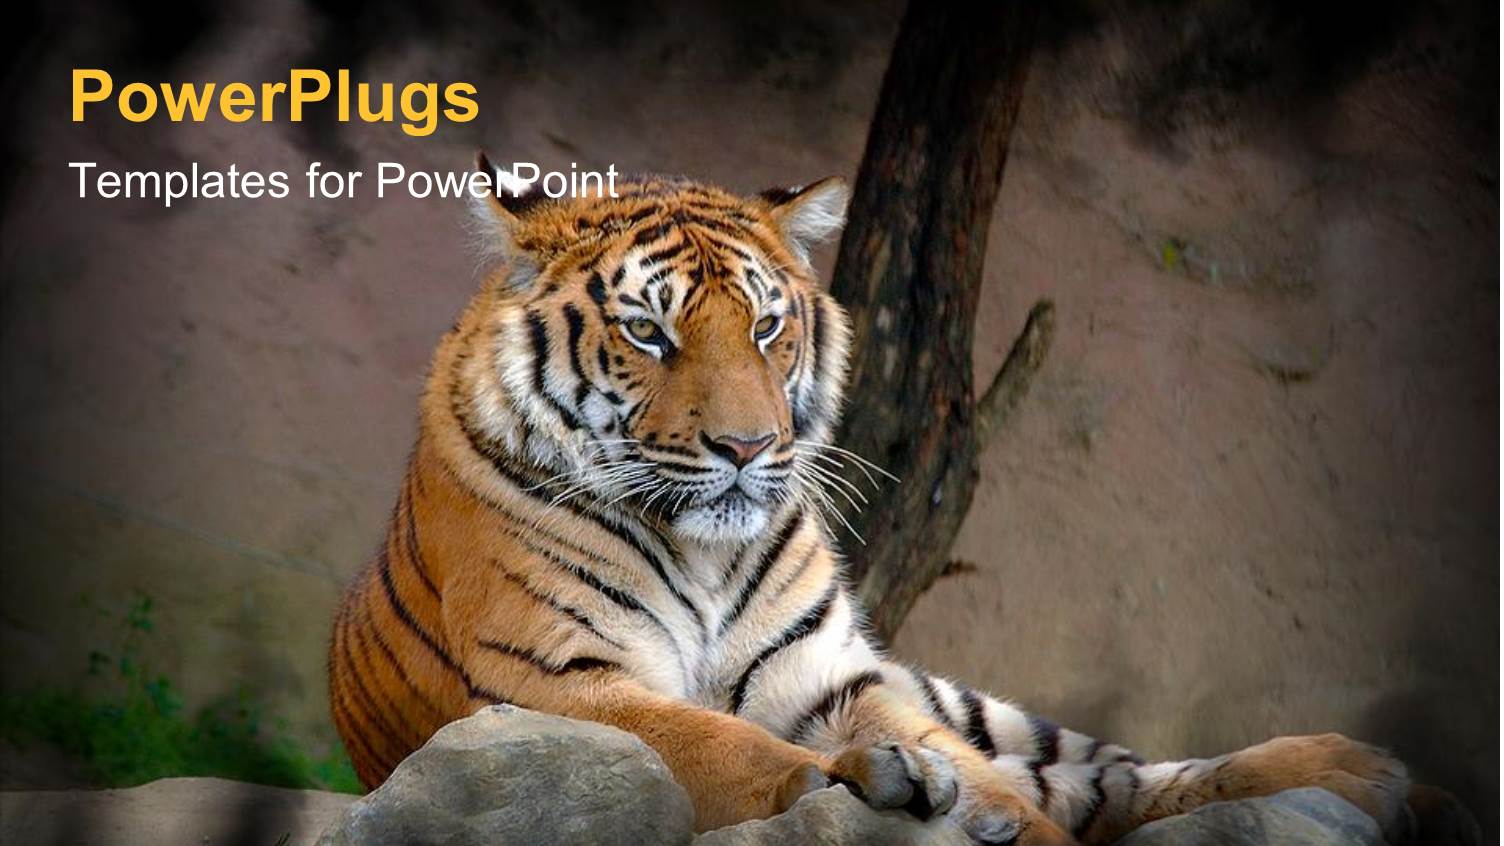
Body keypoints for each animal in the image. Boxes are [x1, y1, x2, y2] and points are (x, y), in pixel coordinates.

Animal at [327, 153, 1413, 844]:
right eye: (648, 333)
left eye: (766, 328)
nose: (747, 446)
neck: (701, 550)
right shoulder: (554, 681)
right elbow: (717, 740)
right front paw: (857, 781)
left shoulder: (832, 676)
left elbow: (1007, 795)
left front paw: (962, 804)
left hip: (955, 693)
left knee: (1103, 771)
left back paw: (1358, 772)